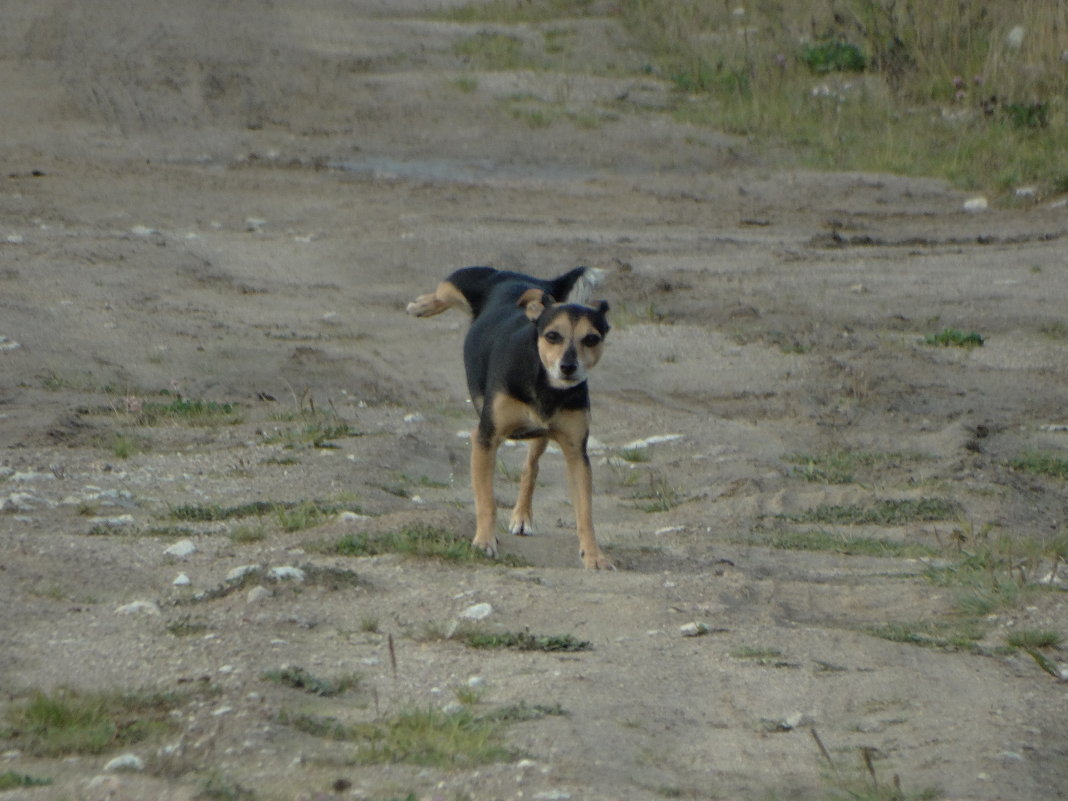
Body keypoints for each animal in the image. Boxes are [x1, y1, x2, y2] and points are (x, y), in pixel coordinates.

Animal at [405, 267, 615, 568]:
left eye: (591, 339)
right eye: (552, 336)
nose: (568, 366)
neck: (544, 384)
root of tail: (525, 279)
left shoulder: (576, 453)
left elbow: (585, 512)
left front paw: (594, 554)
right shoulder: (486, 438)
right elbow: (486, 501)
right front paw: (484, 541)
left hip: (541, 436)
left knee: (531, 467)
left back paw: (522, 516)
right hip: (460, 281)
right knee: (443, 292)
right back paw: (421, 306)